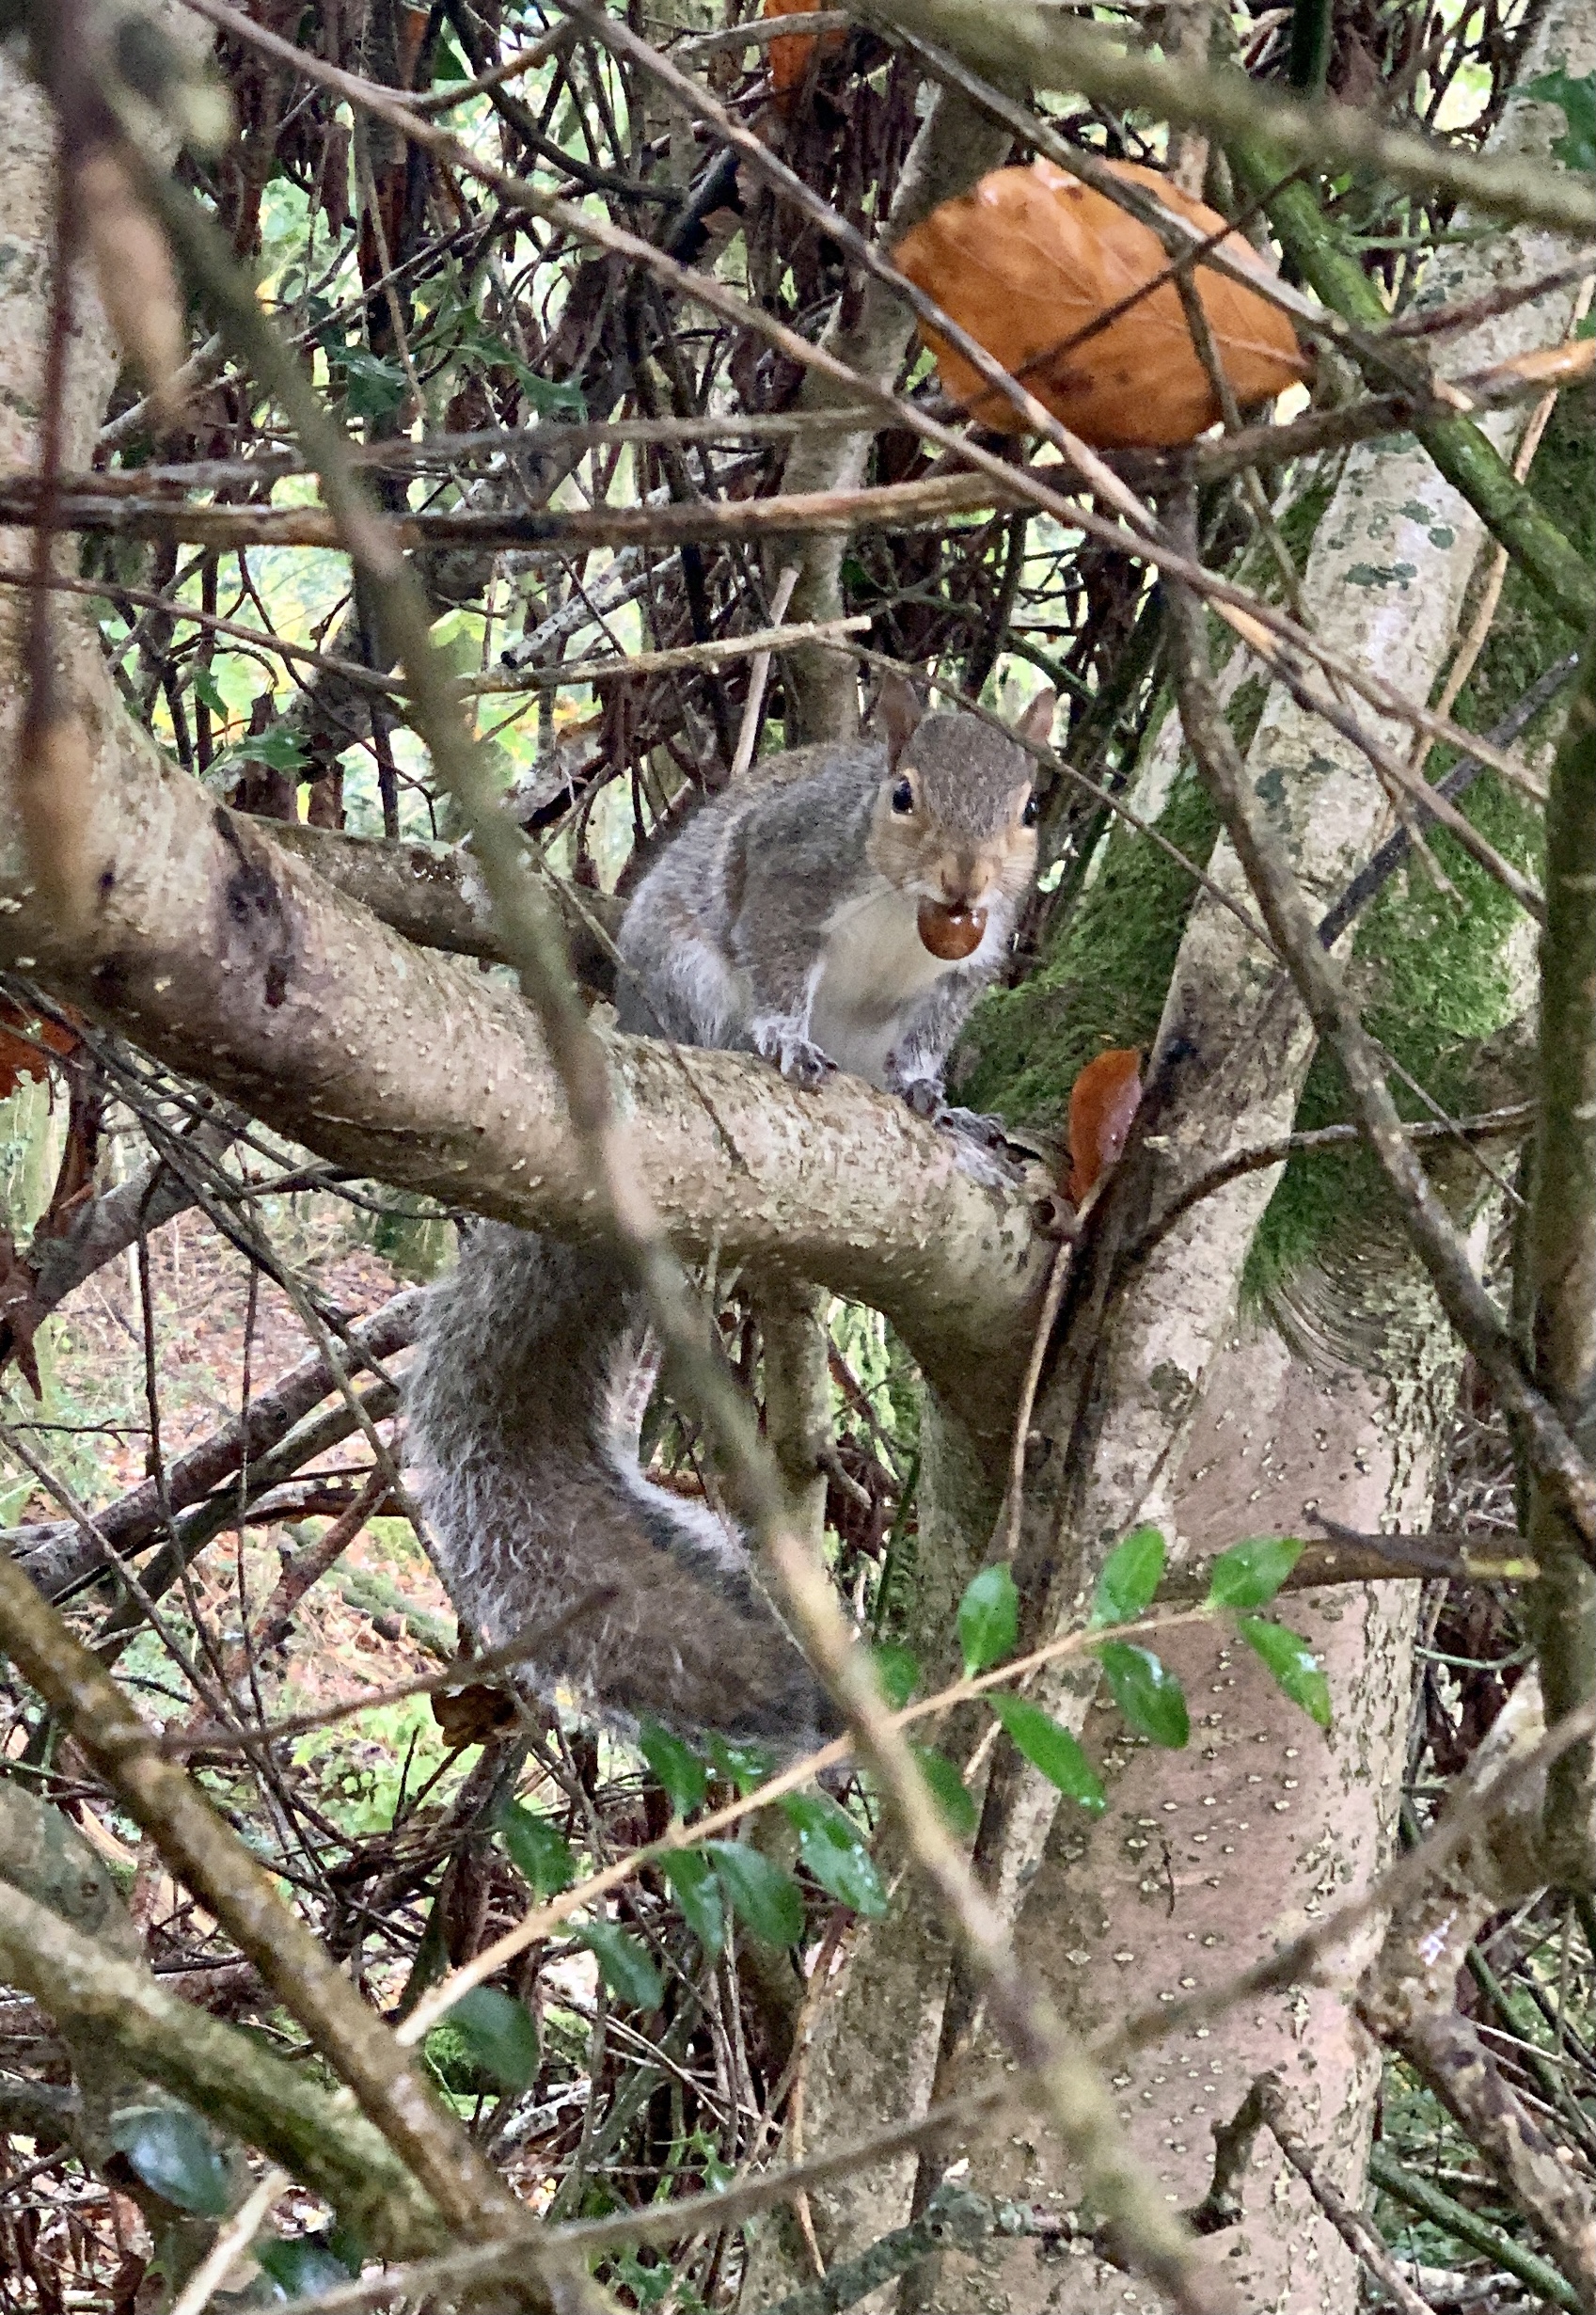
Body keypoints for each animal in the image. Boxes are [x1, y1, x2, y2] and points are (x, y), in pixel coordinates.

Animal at [406, 675, 1054, 1759]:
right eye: (903, 794)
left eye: (1028, 807)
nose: (965, 882)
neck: (906, 907)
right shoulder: (789, 872)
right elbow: (780, 954)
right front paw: (785, 1040)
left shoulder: (966, 964)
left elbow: (930, 1033)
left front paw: (935, 1094)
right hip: (687, 980)